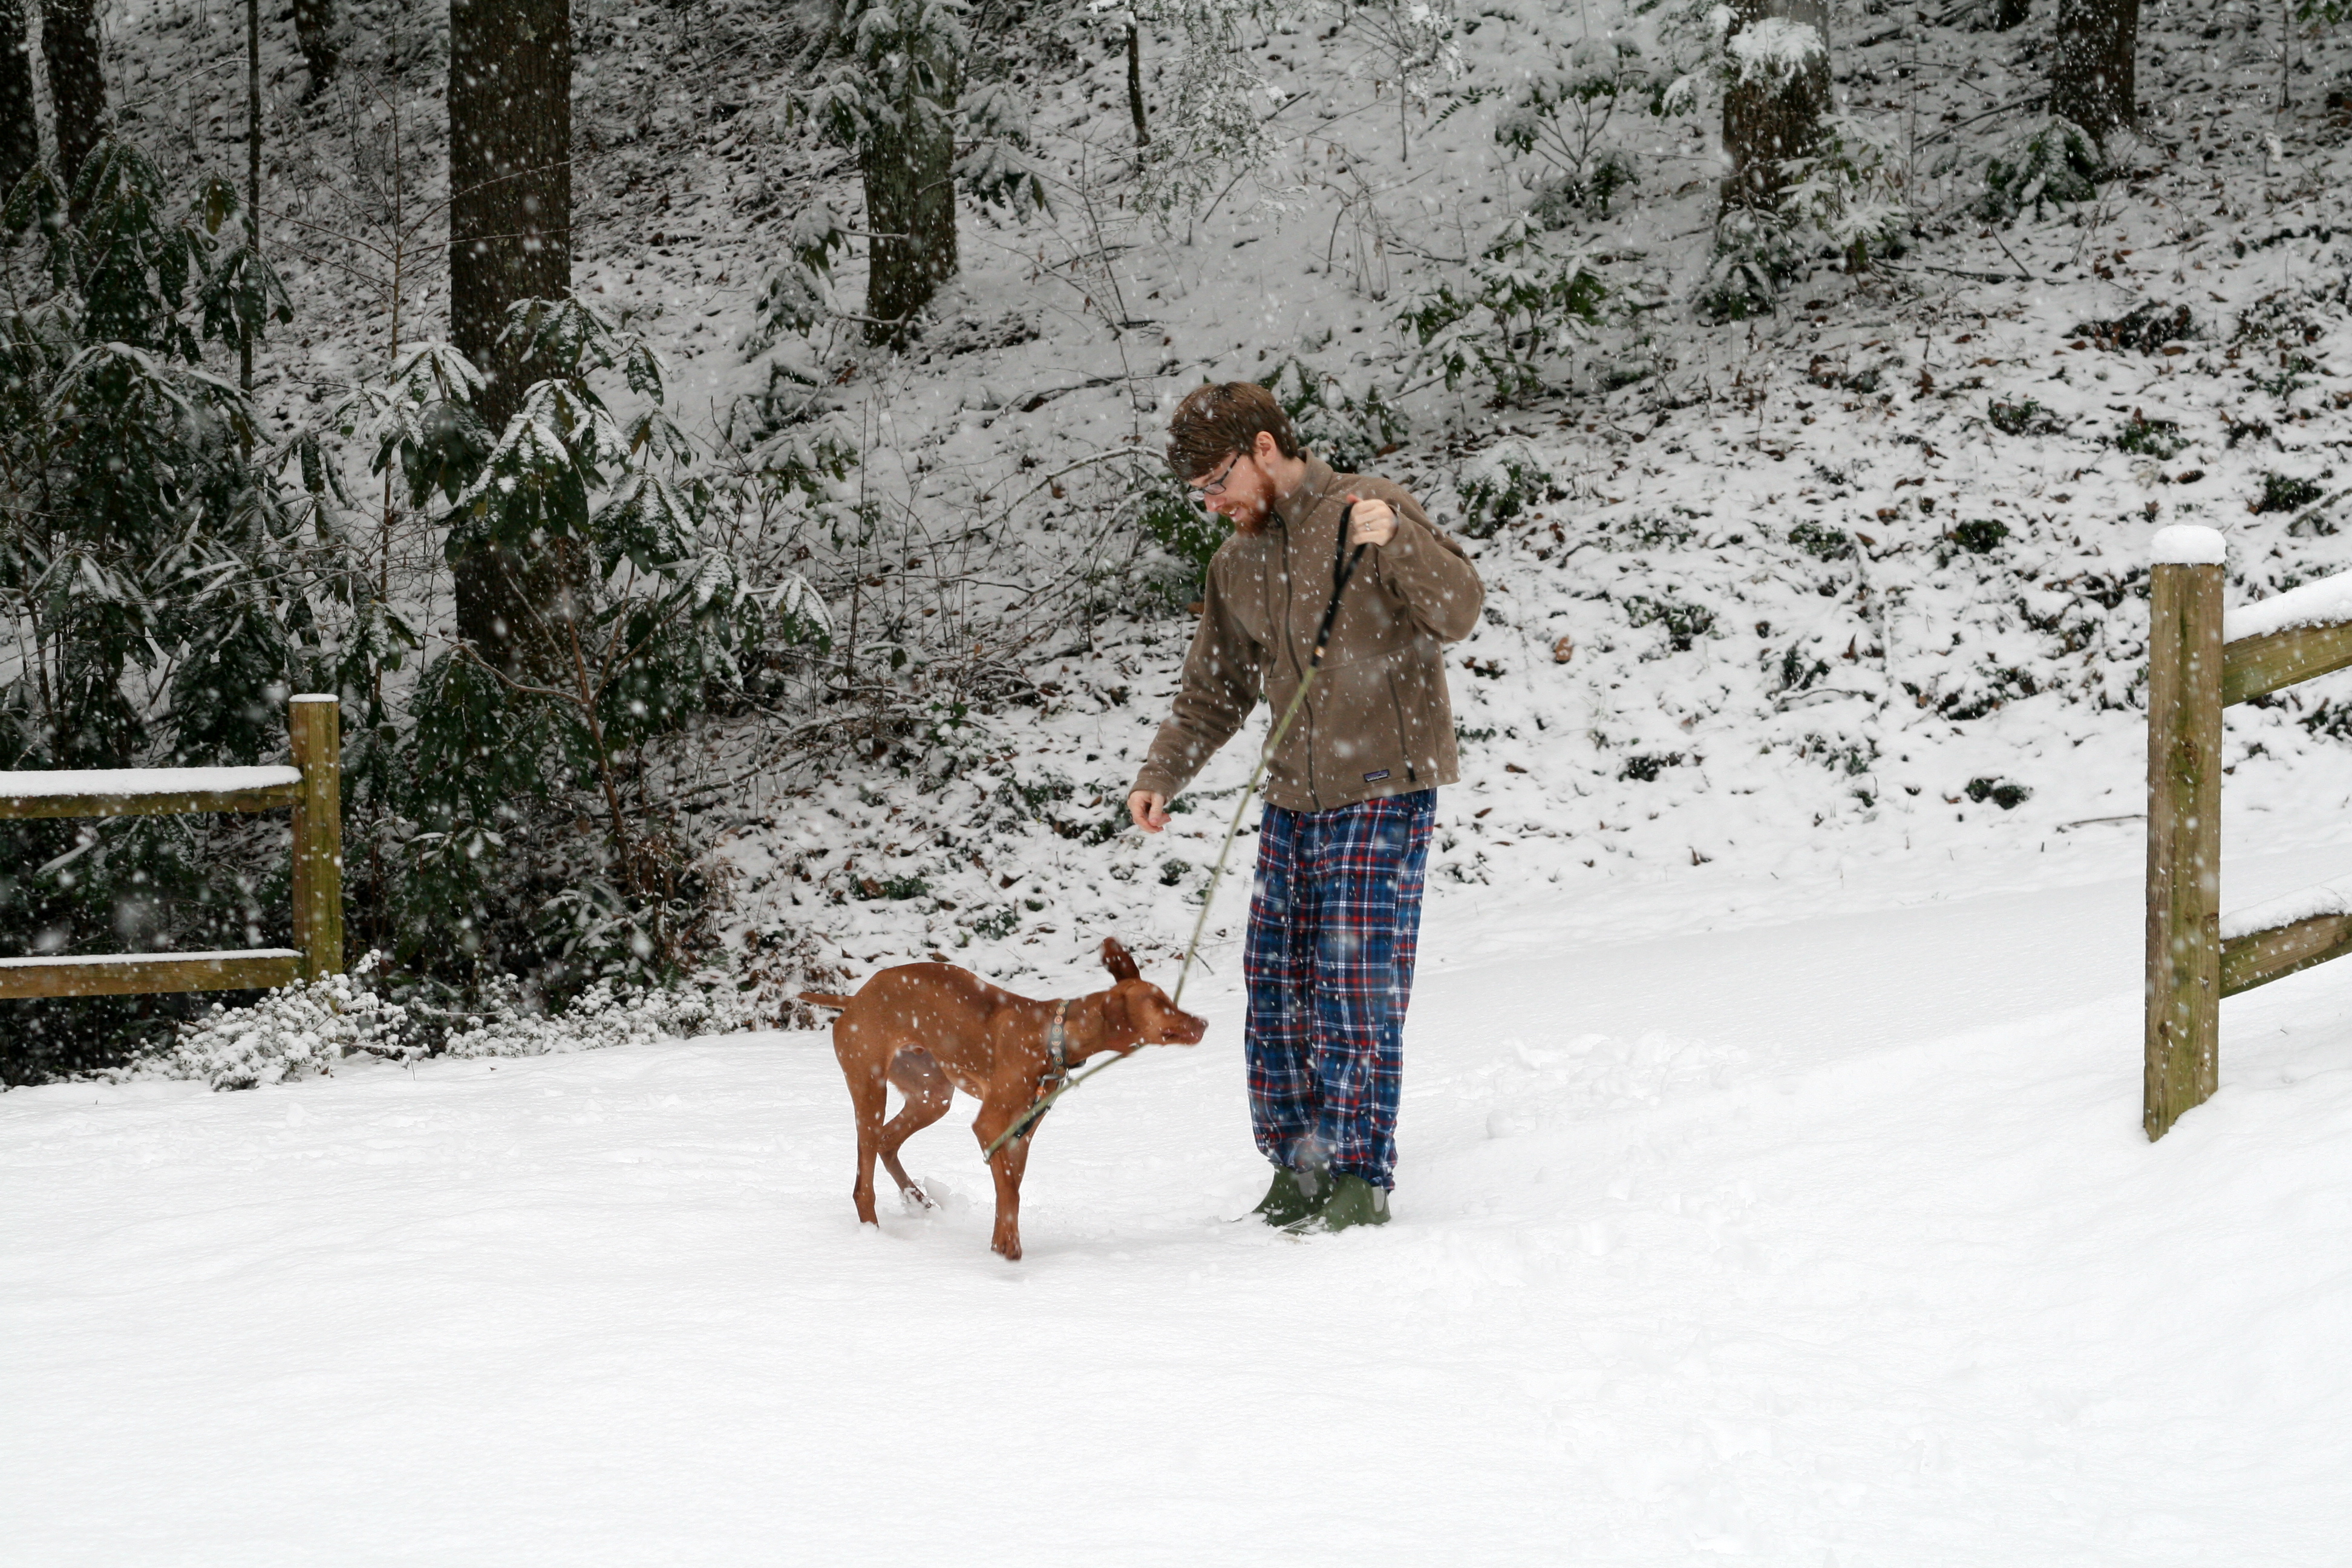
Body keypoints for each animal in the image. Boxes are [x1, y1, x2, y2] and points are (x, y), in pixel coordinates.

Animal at [801, 938, 1207, 1260]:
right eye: (1161, 1004)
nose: (1203, 1022)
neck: (1053, 1036)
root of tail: (856, 997)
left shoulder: (1020, 1134)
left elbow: (1009, 1190)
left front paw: (1000, 1245)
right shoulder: (991, 1125)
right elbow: (1009, 1191)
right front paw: (1009, 1252)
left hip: (932, 1096)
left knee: (887, 1142)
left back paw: (917, 1200)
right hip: (870, 1088)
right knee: (863, 1181)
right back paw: (874, 1237)